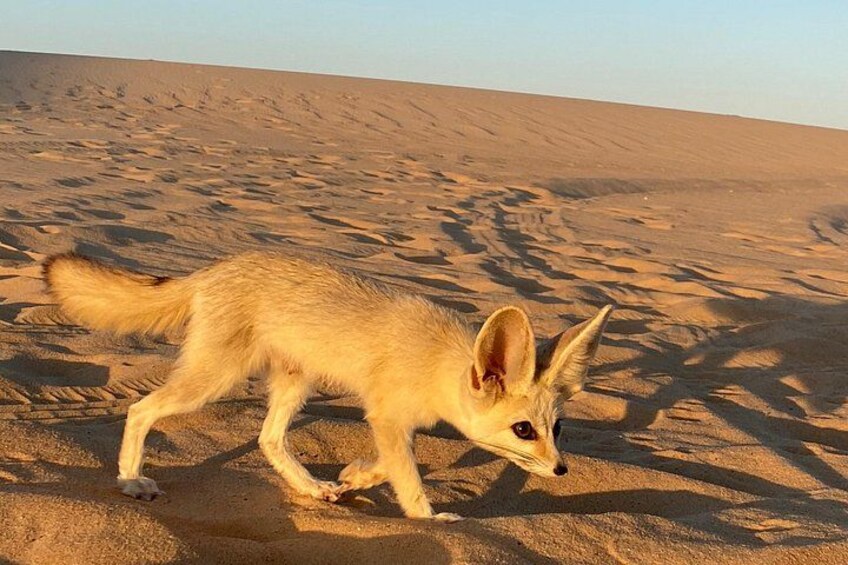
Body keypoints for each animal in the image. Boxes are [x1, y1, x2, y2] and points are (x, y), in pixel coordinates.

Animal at [43, 251, 613, 522]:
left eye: (558, 428)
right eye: (523, 431)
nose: (562, 470)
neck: (436, 358)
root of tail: (214, 269)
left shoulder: (393, 421)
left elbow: (389, 465)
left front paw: (352, 478)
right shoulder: (385, 416)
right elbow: (408, 477)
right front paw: (431, 519)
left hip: (296, 383)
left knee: (268, 439)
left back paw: (312, 488)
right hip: (213, 379)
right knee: (140, 410)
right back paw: (130, 480)